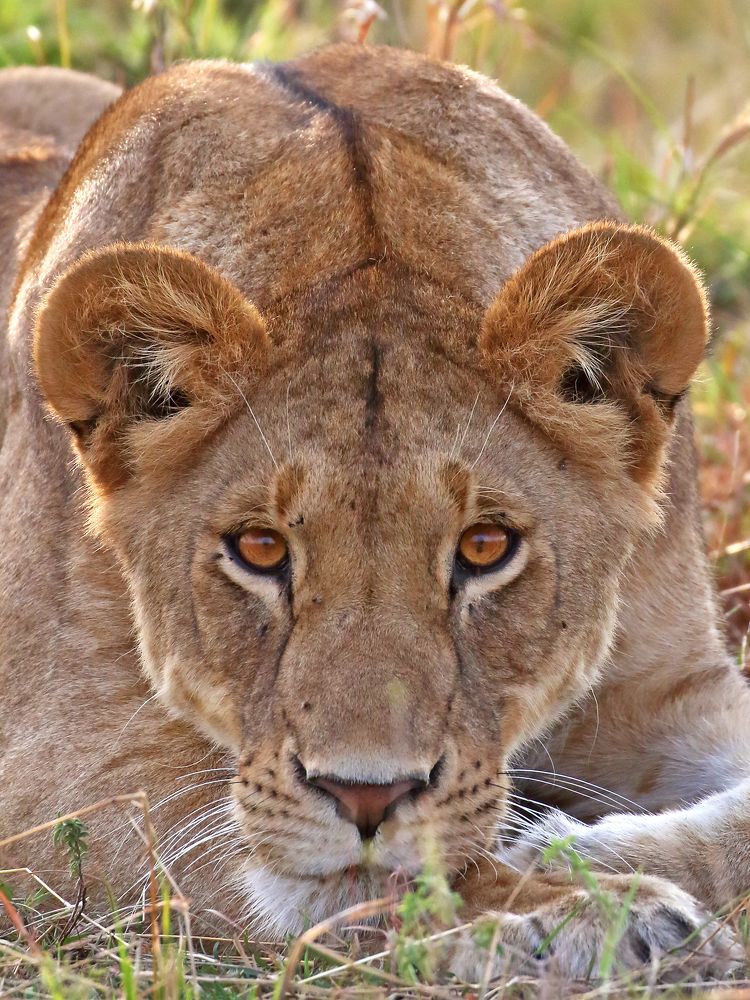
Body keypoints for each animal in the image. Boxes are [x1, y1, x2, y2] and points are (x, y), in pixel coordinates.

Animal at [1, 45, 748, 981]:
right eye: (259, 548)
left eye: (485, 545)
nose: (366, 796)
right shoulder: (58, 769)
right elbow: (359, 878)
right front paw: (580, 913)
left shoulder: (665, 682)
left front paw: (583, 857)